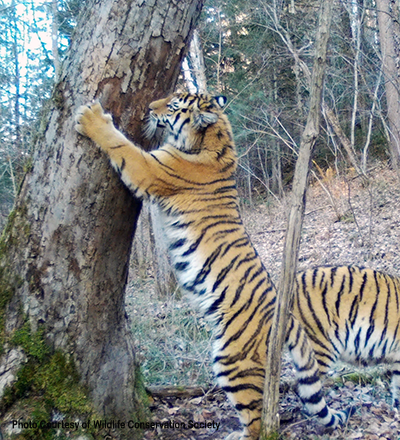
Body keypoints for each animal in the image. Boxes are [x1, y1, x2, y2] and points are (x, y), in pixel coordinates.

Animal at [75, 93, 350, 440]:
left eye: (173, 105)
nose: (150, 107)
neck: (218, 140)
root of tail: (284, 314)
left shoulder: (150, 168)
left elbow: (121, 145)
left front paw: (91, 118)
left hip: (233, 360)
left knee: (256, 419)